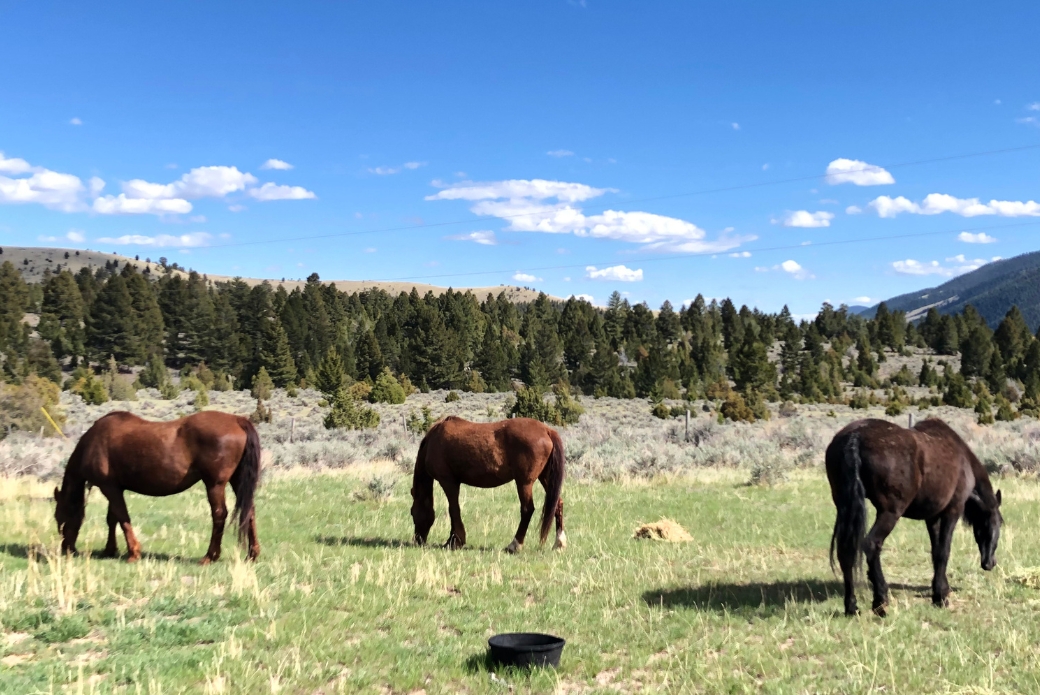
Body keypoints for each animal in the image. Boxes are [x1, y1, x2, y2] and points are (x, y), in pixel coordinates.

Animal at [54, 410, 261, 564]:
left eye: (59, 517)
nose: (66, 549)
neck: (93, 441)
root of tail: (237, 420)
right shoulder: (115, 488)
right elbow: (112, 519)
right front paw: (110, 549)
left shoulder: (109, 488)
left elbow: (122, 517)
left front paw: (133, 552)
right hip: (238, 481)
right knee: (249, 511)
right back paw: (252, 554)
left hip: (214, 484)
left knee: (219, 515)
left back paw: (210, 556)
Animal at [410, 416, 566, 553]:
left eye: (412, 512)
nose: (417, 541)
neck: (433, 440)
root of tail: (546, 430)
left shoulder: (448, 482)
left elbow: (453, 509)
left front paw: (454, 541)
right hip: (545, 477)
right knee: (557, 504)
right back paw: (559, 543)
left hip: (524, 482)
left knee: (527, 509)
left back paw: (514, 545)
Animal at [826, 417, 1002, 617]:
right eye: (997, 524)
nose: (990, 563)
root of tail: (855, 436)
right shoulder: (952, 511)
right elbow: (944, 552)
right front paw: (941, 597)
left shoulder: (932, 518)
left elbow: (935, 552)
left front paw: (940, 591)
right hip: (890, 512)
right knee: (871, 545)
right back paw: (880, 601)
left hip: (844, 506)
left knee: (845, 552)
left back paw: (851, 607)